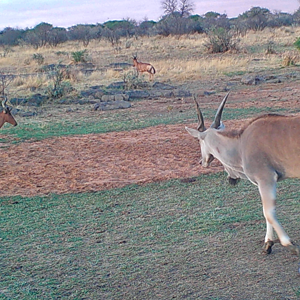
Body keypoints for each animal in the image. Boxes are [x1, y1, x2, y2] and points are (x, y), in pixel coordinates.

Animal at [185, 93, 300, 255]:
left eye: (199, 141)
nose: (203, 161)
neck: (240, 144)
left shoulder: (266, 179)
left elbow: (268, 212)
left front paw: (289, 244)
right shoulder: (265, 183)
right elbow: (266, 211)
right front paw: (268, 244)